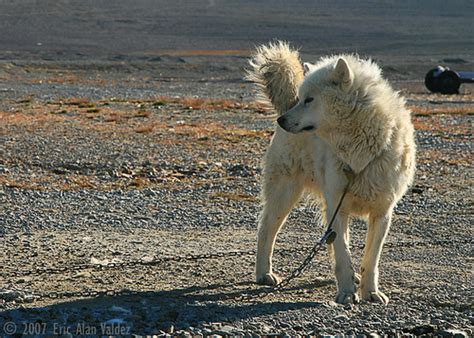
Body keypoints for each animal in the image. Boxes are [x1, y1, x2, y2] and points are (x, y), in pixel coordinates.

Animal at [246, 41, 416, 304]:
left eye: (309, 100)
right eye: (301, 98)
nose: (282, 120)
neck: (359, 151)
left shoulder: (381, 212)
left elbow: (371, 259)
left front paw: (370, 292)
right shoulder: (337, 205)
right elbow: (343, 254)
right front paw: (346, 292)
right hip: (285, 193)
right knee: (266, 229)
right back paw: (264, 273)